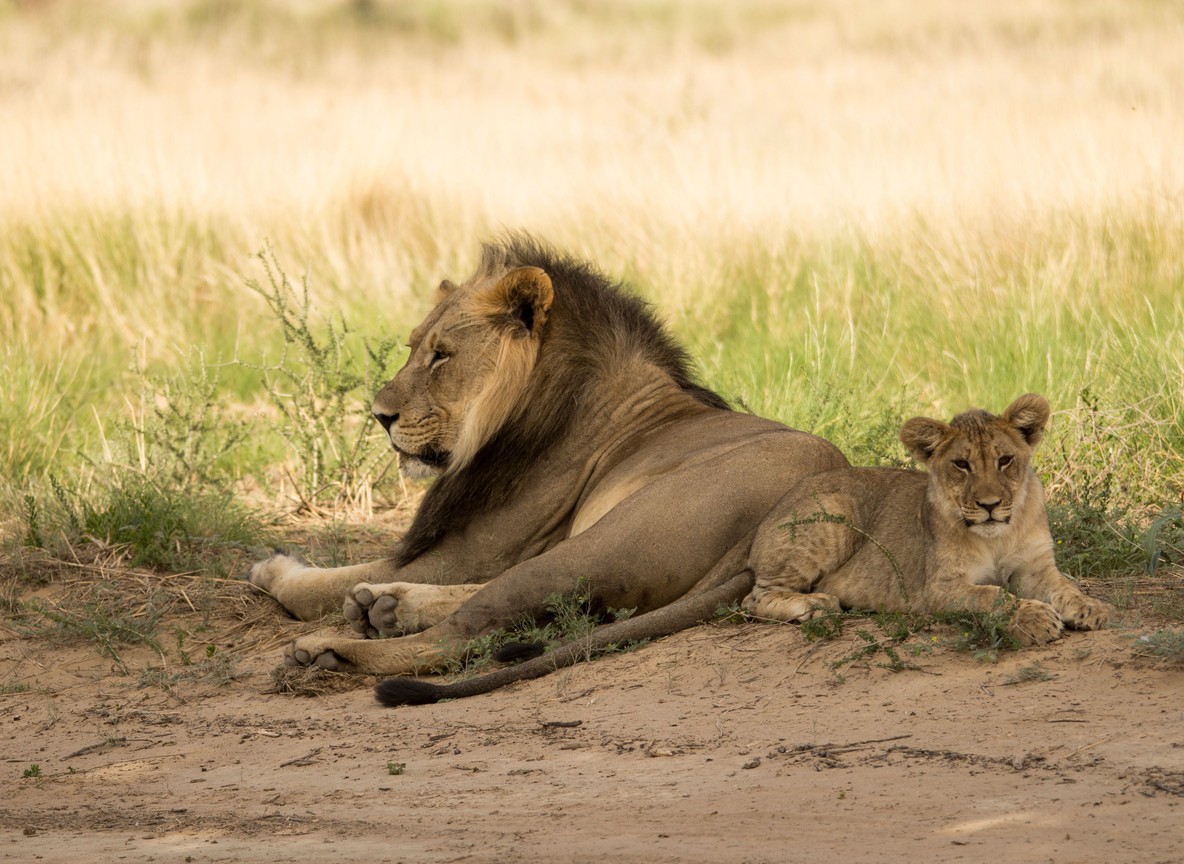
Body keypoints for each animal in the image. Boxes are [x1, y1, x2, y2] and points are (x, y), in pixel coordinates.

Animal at [248, 236, 848, 690]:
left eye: (442, 355)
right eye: (413, 346)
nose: (379, 415)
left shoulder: (470, 551)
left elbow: (313, 588)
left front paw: (273, 568)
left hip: (609, 539)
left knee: (463, 635)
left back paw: (334, 648)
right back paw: (387, 606)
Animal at [742, 393, 1112, 645]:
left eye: (1005, 460)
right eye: (961, 464)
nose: (990, 505)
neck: (998, 536)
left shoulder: (1034, 567)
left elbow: (1065, 586)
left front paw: (1091, 608)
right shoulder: (939, 586)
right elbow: (993, 596)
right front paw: (1034, 617)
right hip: (836, 511)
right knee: (754, 598)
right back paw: (817, 603)